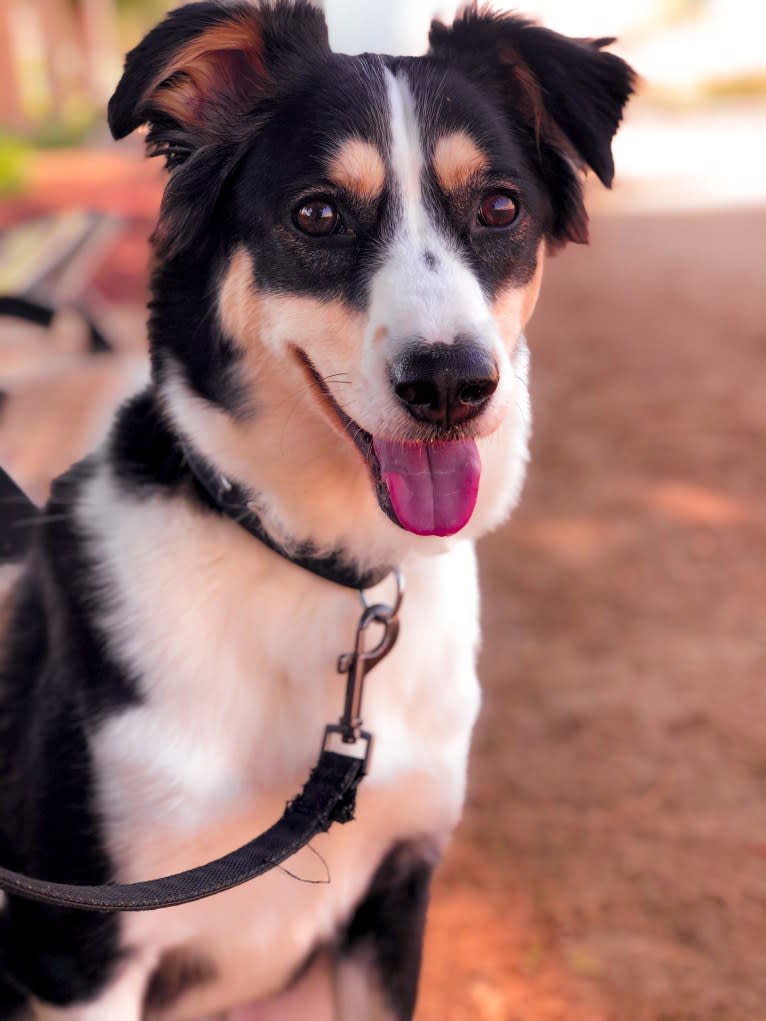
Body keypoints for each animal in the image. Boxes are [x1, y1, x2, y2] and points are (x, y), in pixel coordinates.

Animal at [0, 3, 637, 1016]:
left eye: (500, 208)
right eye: (318, 214)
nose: (452, 384)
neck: (315, 561)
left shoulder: (394, 890)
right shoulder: (77, 951)